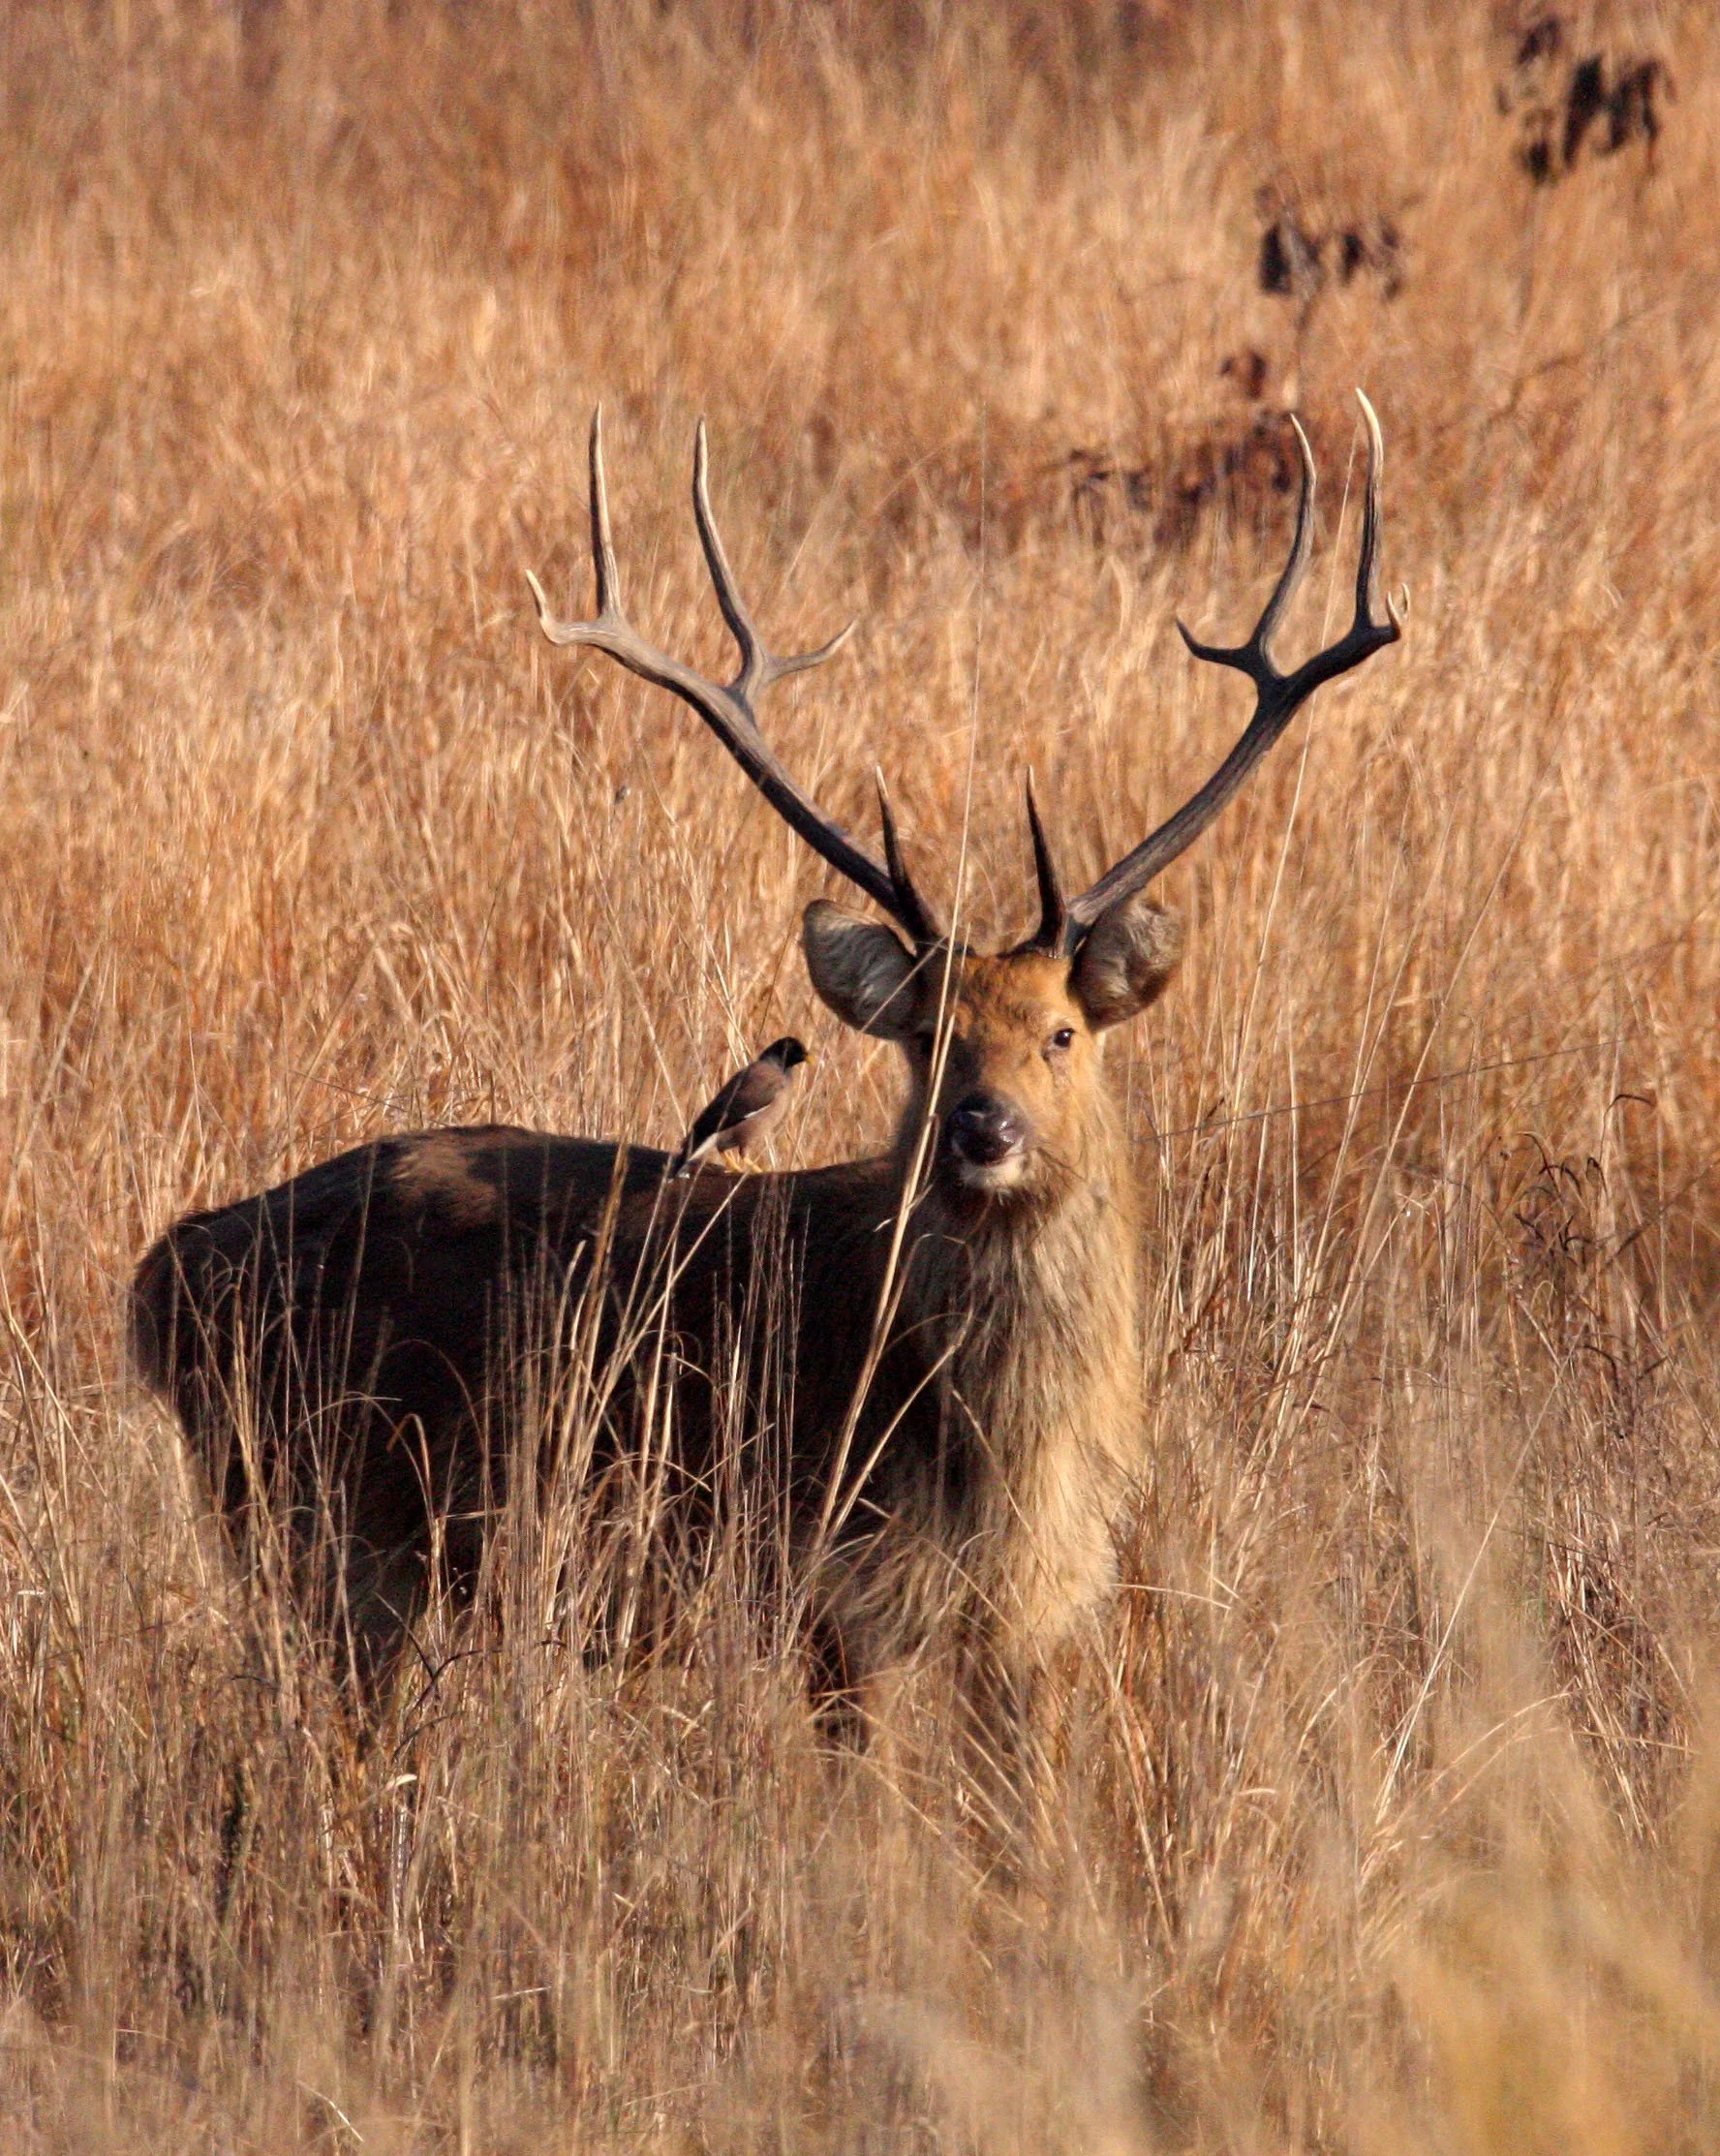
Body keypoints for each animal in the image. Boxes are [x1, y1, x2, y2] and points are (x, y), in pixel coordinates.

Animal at [132, 395, 1399, 1752]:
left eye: (1062, 1033)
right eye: (927, 1039)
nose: (985, 1130)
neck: (1006, 1454)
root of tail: (161, 1276)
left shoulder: (1037, 1616)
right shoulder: (834, 1589)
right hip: (323, 1513)